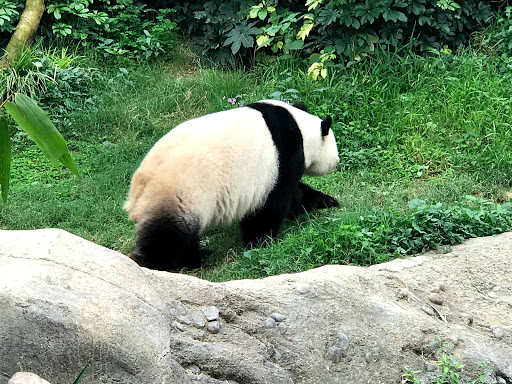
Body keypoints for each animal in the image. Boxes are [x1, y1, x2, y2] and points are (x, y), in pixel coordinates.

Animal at [124, 100, 340, 272]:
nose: (337, 161)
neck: (301, 129)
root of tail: (142, 182)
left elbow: (297, 196)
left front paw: (328, 201)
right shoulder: (284, 159)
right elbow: (272, 206)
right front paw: (262, 243)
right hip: (181, 193)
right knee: (167, 239)